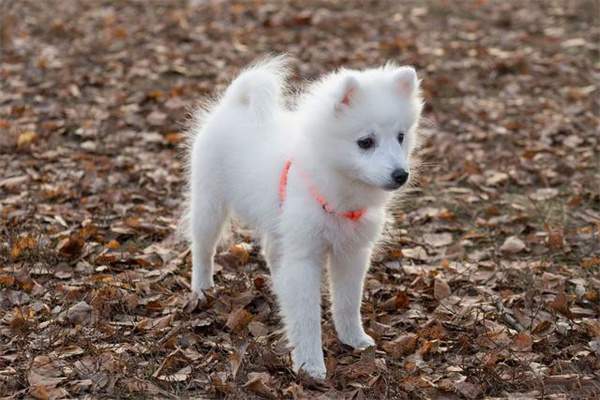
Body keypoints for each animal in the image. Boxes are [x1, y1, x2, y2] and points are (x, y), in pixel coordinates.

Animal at [185, 55, 424, 378]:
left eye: (400, 137)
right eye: (365, 142)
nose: (401, 175)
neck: (339, 187)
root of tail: (234, 103)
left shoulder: (352, 252)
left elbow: (348, 302)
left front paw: (354, 339)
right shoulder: (305, 255)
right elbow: (307, 315)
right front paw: (310, 365)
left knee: (272, 252)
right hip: (210, 203)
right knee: (203, 247)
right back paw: (201, 289)